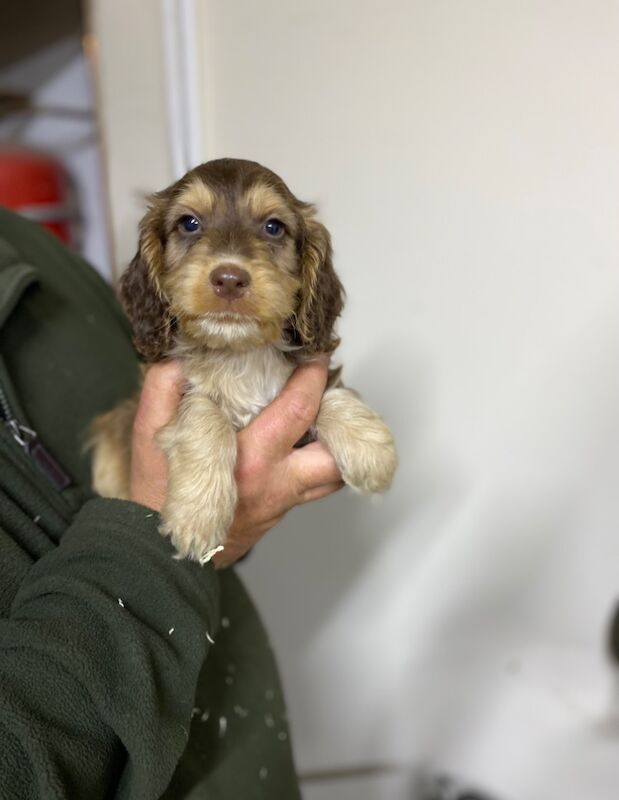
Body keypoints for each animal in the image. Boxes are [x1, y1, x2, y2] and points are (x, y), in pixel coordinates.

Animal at [92, 158, 398, 564]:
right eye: (189, 223)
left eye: (273, 227)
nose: (229, 279)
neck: (239, 353)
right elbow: (204, 413)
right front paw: (198, 514)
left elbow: (329, 393)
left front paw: (371, 448)